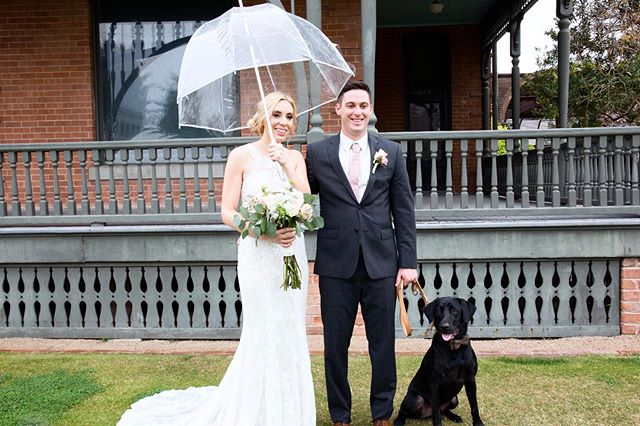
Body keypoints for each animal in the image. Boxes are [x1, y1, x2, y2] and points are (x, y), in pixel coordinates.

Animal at [392, 296, 482, 426]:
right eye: (438, 310)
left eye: (454, 310)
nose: (444, 326)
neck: (454, 348)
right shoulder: (435, 383)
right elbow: (436, 413)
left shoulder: (470, 379)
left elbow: (474, 405)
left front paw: (478, 422)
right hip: (414, 399)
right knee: (404, 411)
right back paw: (399, 421)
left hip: (454, 399)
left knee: (444, 410)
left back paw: (454, 416)